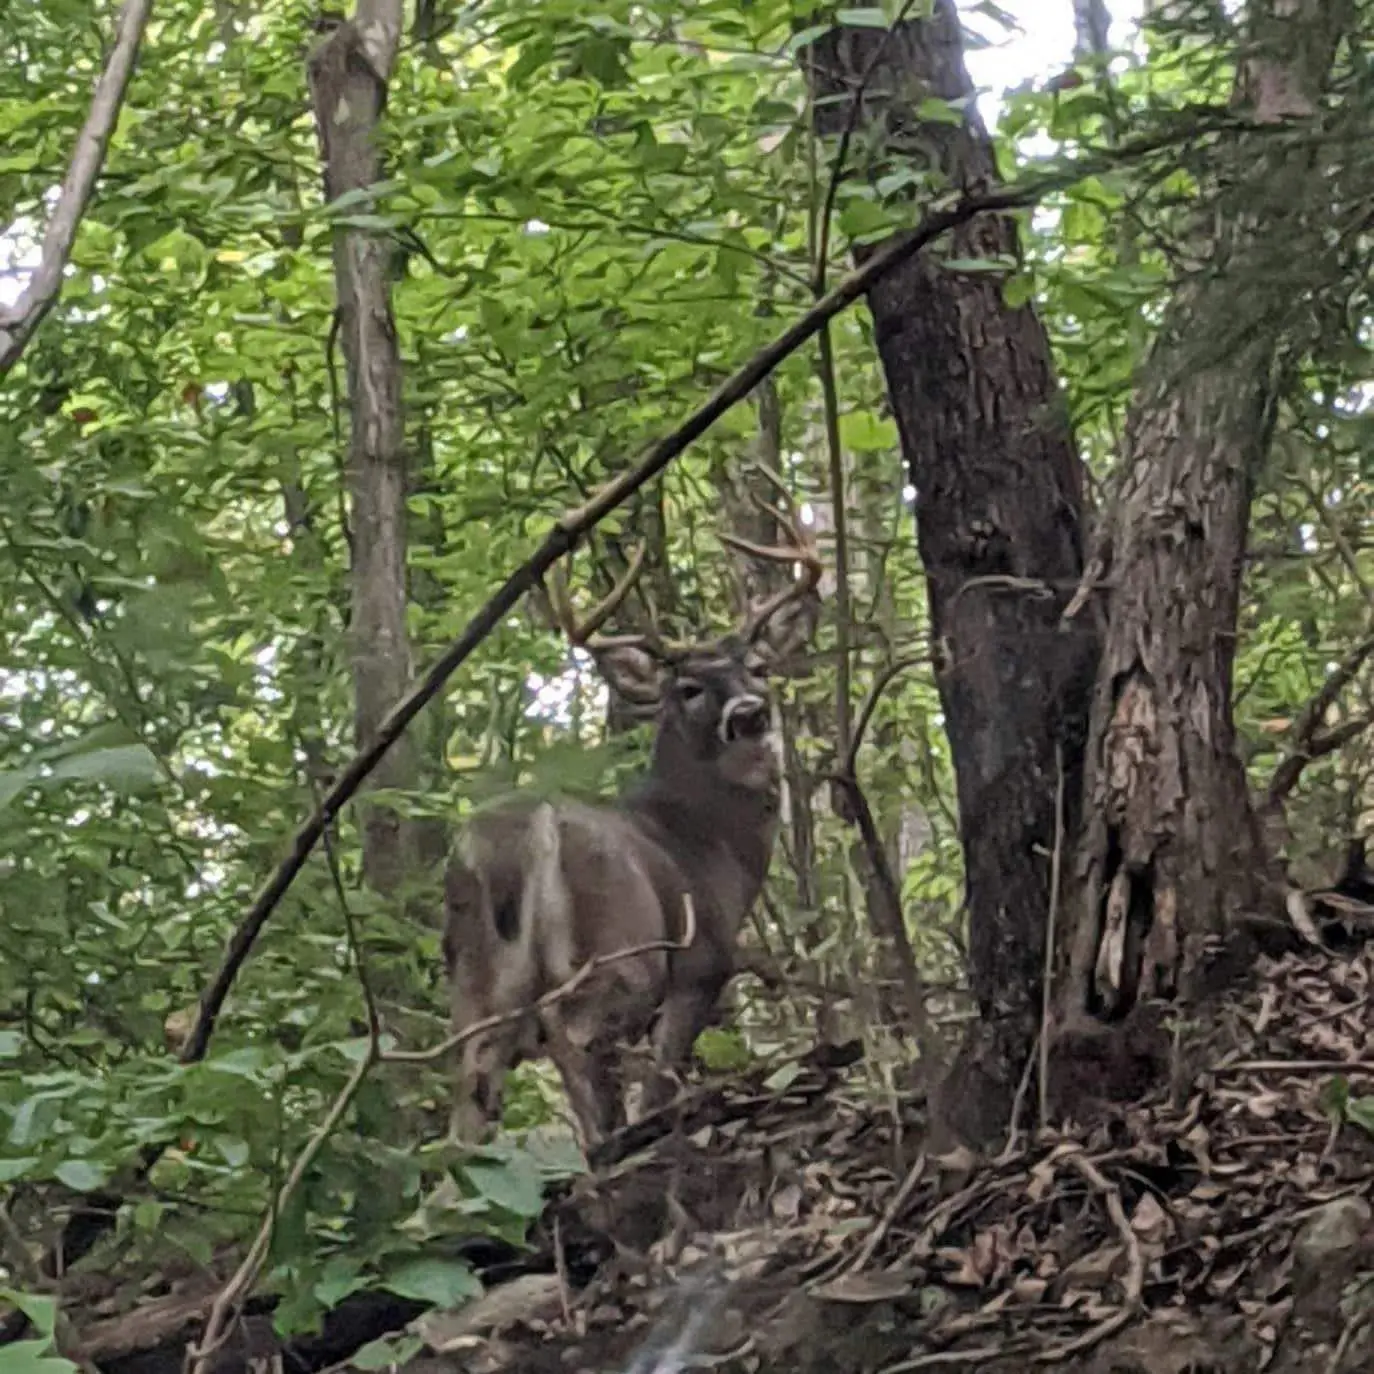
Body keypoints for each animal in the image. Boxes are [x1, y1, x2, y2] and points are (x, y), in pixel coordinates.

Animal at [442, 476, 820, 1151]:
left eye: (756, 667)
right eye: (689, 688)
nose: (750, 713)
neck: (709, 843)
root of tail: (511, 840)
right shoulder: (700, 969)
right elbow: (662, 1081)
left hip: (474, 990)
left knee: (470, 1097)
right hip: (622, 953)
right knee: (577, 1039)